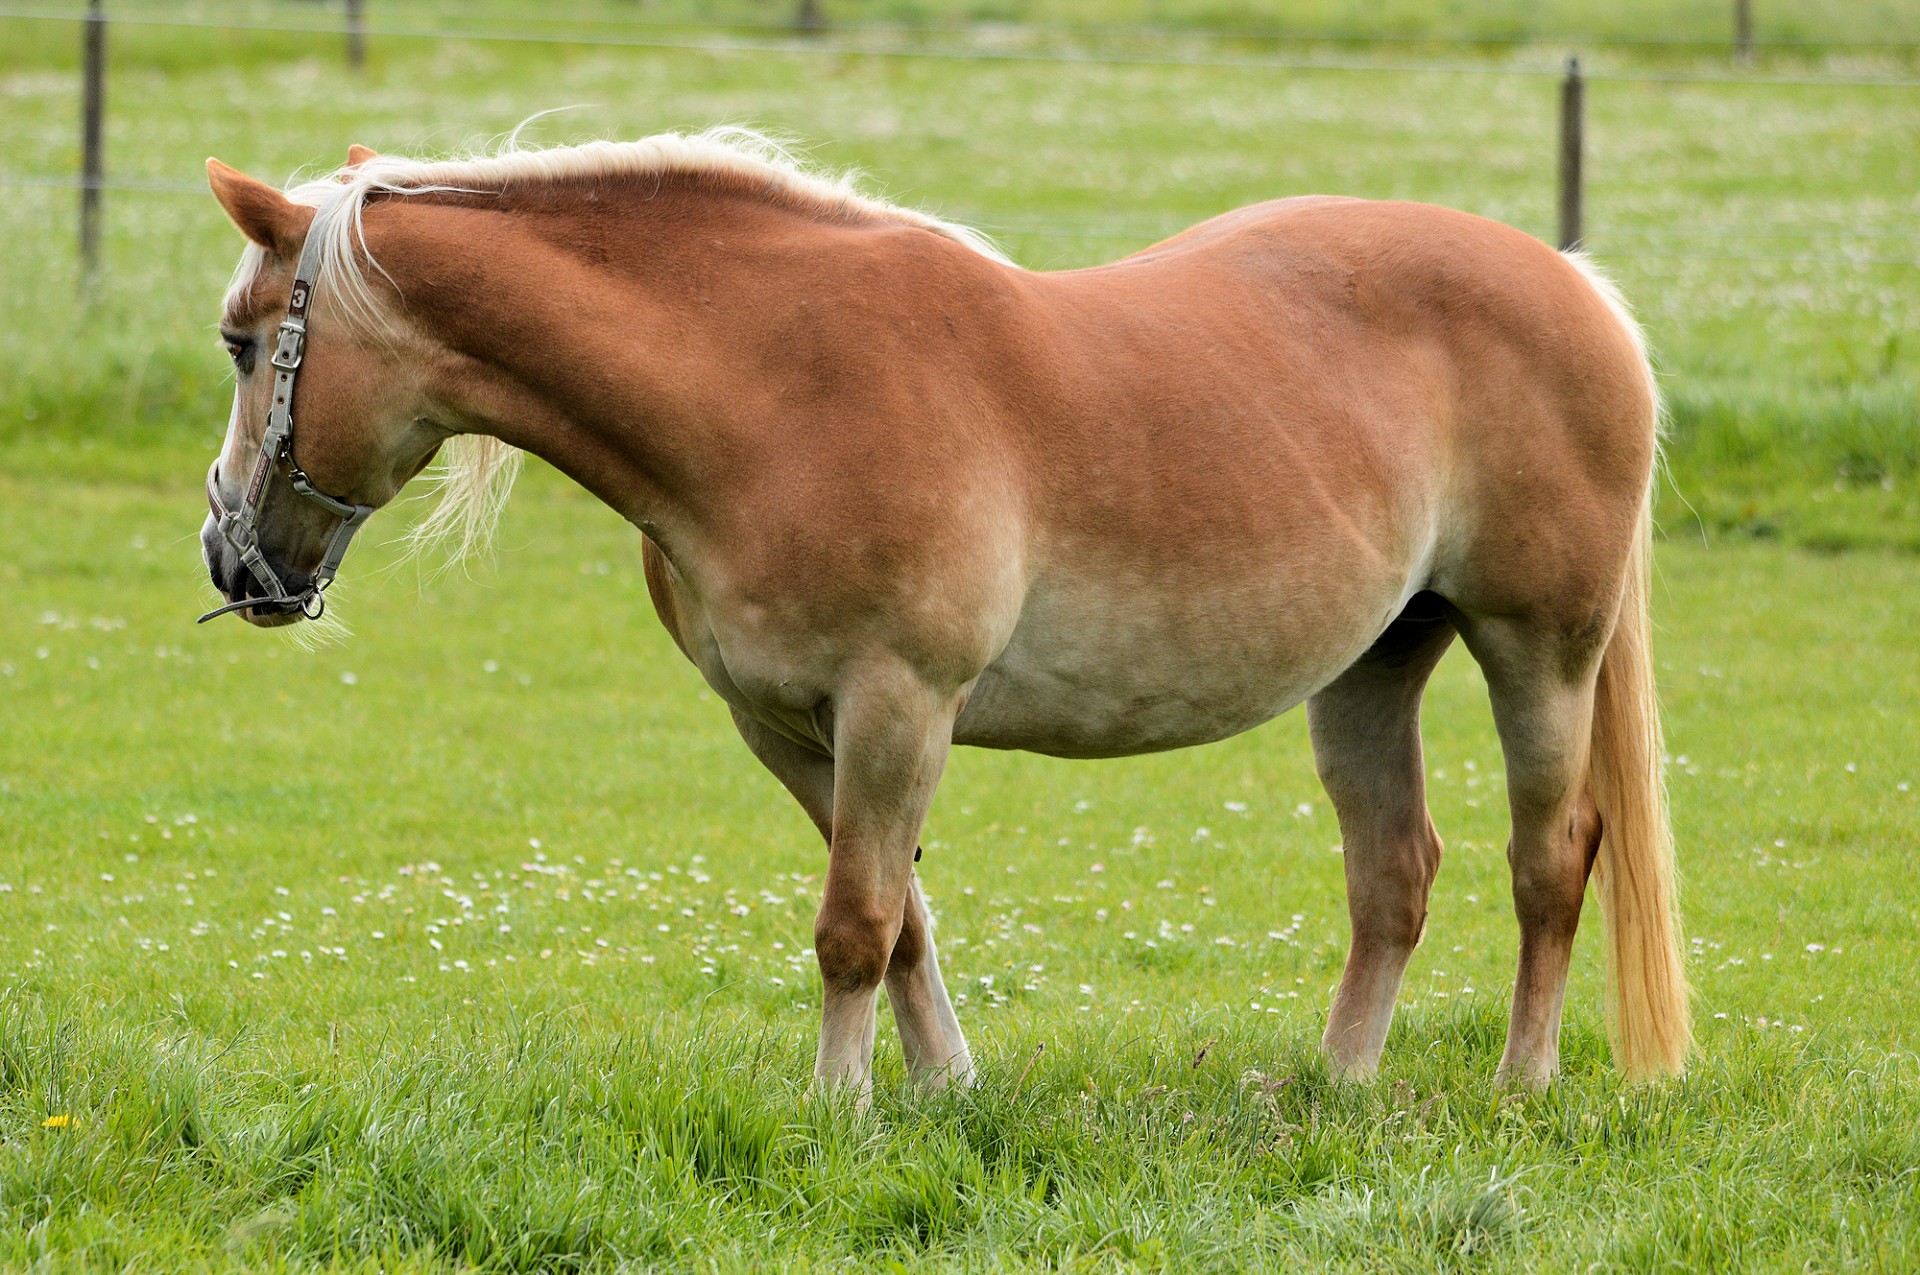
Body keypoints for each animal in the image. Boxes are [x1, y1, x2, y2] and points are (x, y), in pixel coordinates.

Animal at [202, 124, 1689, 1090]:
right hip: (1375, 664)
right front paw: (940, 1090)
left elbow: (854, 924)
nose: (232, 560)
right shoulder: (787, 727)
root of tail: (1574, 282)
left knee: (1553, 856)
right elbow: (900, 915)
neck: (772, 387)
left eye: (242, 340)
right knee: (1395, 872)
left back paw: (1523, 1083)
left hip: (1538, 649)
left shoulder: (897, 704)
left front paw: (838, 1111)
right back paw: (1335, 1088)